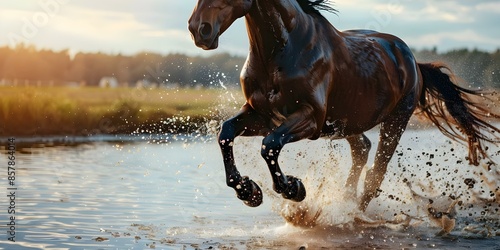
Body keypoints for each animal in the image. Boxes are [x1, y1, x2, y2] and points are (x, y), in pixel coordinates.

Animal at [188, 0, 500, 211]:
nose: (198, 29)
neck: (283, 51)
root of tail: (411, 59)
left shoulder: (309, 119)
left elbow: (270, 145)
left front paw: (294, 188)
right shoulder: (263, 115)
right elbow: (226, 133)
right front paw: (249, 191)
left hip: (396, 120)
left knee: (375, 173)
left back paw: (353, 215)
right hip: (349, 122)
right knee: (362, 150)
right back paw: (345, 202)